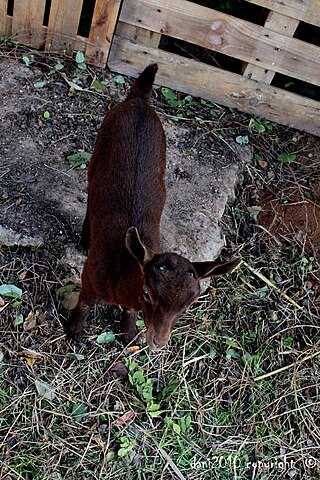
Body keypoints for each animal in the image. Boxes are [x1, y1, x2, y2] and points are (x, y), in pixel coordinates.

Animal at [65, 62, 240, 348]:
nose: (159, 341)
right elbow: (85, 302)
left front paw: (127, 333)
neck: (121, 270)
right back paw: (83, 240)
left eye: (188, 305)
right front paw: (73, 329)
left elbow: (128, 312)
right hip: (97, 151)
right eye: (147, 292)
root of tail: (138, 100)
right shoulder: (89, 276)